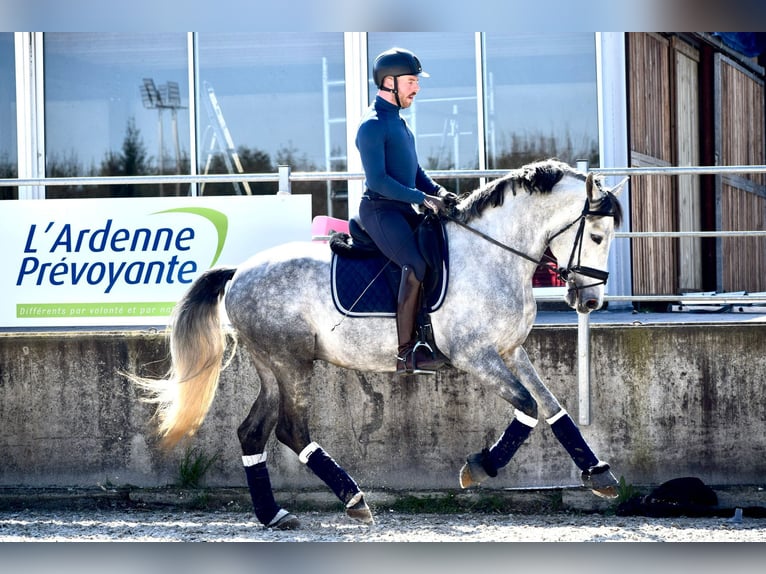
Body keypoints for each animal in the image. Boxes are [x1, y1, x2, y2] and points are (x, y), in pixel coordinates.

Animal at [127, 158, 632, 532]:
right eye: (597, 235)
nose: (589, 301)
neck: (493, 253)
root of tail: (239, 273)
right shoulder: (476, 355)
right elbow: (527, 408)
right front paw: (479, 466)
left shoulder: (510, 351)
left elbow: (553, 406)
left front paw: (598, 474)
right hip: (292, 362)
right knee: (291, 430)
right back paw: (353, 499)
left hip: (272, 365)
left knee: (253, 431)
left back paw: (274, 514)